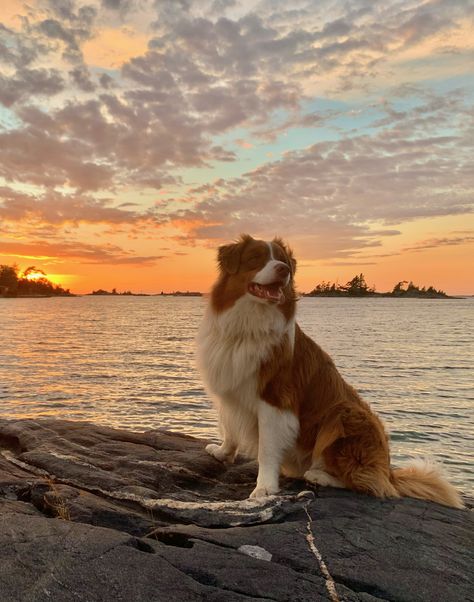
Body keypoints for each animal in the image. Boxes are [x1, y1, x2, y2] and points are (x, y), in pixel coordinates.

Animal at [196, 234, 462, 506]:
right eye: (255, 258)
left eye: (282, 260)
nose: (284, 270)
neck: (248, 324)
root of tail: (389, 471)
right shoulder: (230, 387)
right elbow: (229, 427)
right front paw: (222, 453)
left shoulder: (275, 398)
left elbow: (267, 449)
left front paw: (265, 487)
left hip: (345, 414)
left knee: (369, 483)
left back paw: (320, 475)